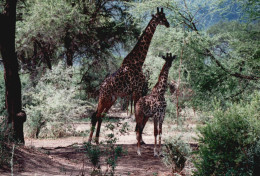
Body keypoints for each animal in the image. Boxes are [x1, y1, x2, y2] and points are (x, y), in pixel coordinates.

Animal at [89, 7, 171, 144]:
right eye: (161, 17)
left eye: (165, 16)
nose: (168, 24)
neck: (138, 62)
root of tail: (101, 86)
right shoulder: (137, 91)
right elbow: (139, 117)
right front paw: (139, 140)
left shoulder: (141, 91)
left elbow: (142, 117)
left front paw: (141, 139)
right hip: (104, 97)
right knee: (96, 115)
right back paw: (89, 141)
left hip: (111, 99)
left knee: (100, 116)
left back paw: (96, 140)